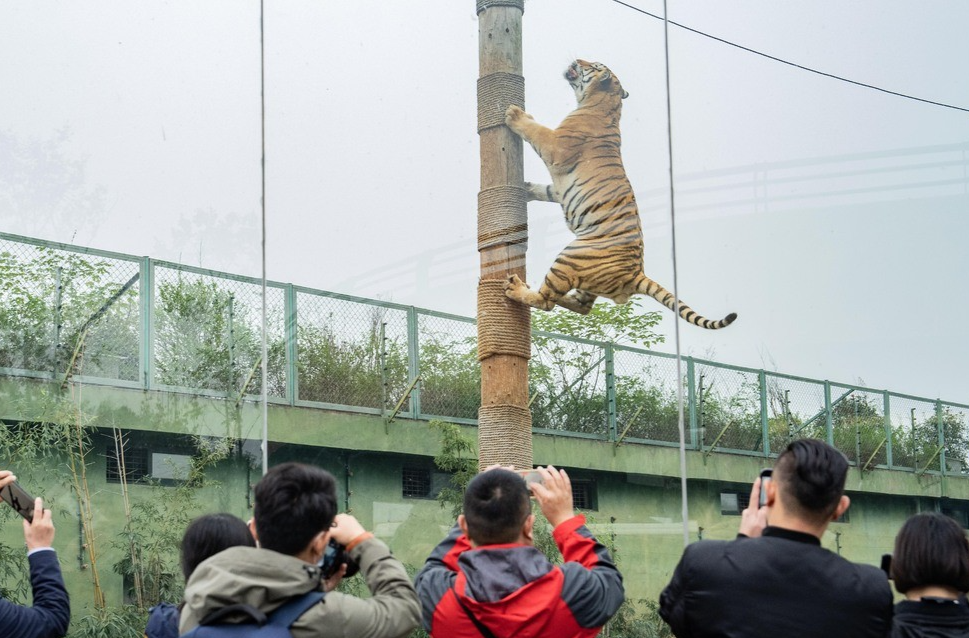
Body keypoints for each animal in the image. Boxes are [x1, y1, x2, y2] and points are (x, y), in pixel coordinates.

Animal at [502, 57, 736, 332]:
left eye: (592, 64)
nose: (576, 59)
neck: (604, 104)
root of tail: (636, 274)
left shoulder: (555, 147)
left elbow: (535, 130)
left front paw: (516, 115)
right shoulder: (558, 188)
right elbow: (546, 190)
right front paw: (526, 188)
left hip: (571, 256)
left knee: (547, 300)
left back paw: (517, 288)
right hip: (585, 278)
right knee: (583, 306)